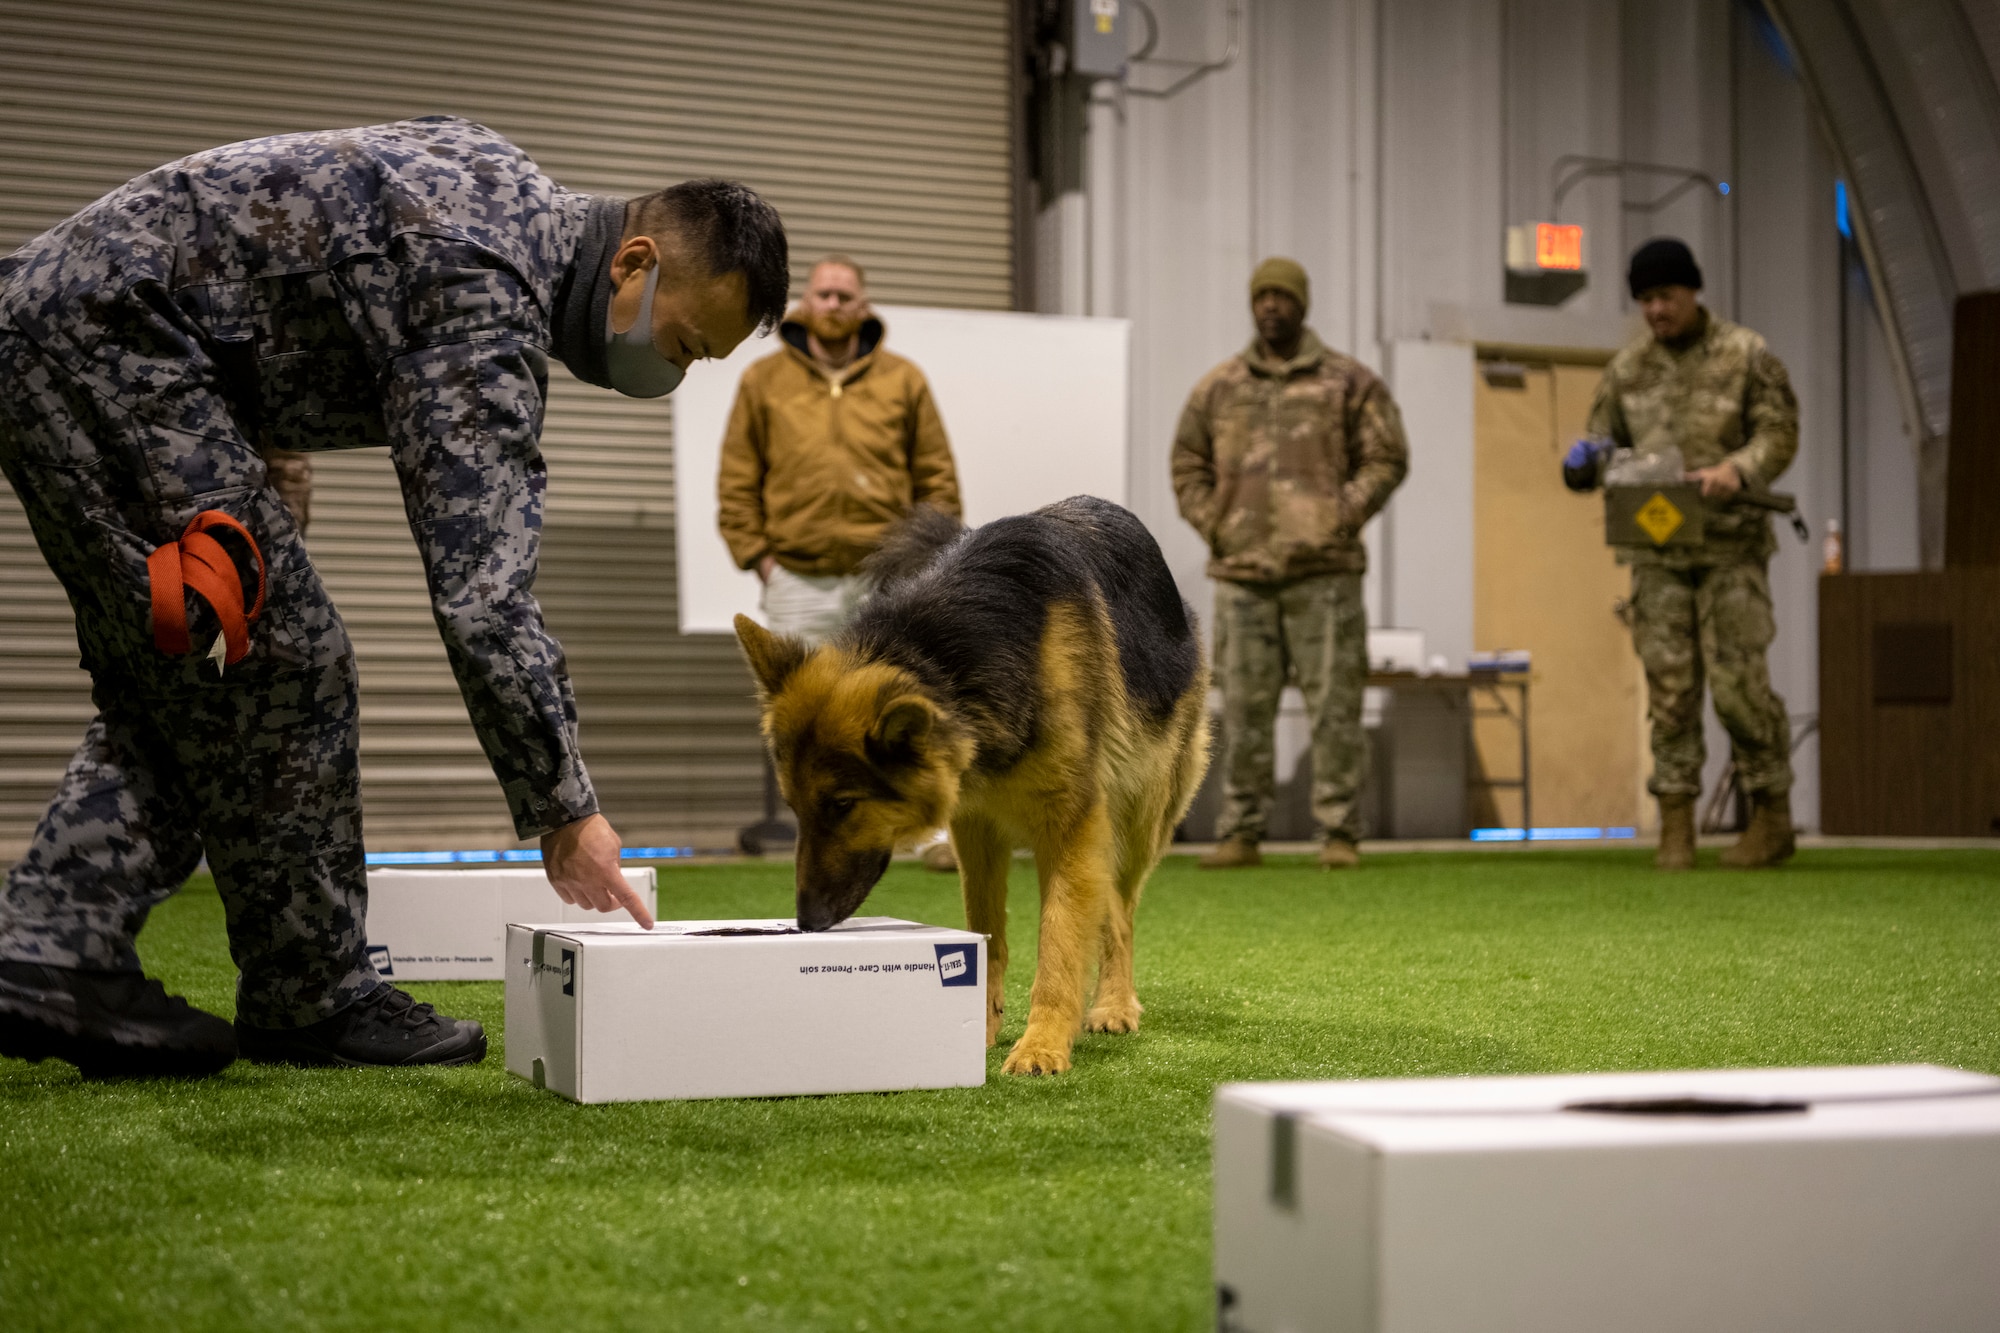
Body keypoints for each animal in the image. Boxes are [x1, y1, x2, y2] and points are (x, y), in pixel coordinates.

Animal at [732, 496, 1200, 1072]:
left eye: (842, 805)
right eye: (795, 808)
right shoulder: (975, 832)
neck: (944, 659)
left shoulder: (1071, 827)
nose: (805, 922)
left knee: (1119, 914)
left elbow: (1060, 937)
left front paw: (1042, 1043)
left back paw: (1113, 1003)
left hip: (1137, 822)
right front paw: (981, 1027)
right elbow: (988, 932)